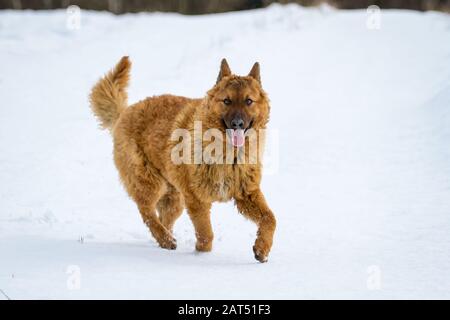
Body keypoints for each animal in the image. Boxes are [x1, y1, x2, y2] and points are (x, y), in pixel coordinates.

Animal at [89, 57, 276, 262]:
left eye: (249, 101)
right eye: (227, 101)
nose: (237, 124)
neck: (227, 153)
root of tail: (125, 112)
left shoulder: (247, 194)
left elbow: (270, 219)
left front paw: (262, 249)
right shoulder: (196, 199)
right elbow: (206, 234)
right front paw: (201, 255)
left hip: (174, 198)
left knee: (163, 218)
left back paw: (165, 239)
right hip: (150, 182)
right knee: (146, 212)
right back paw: (165, 239)